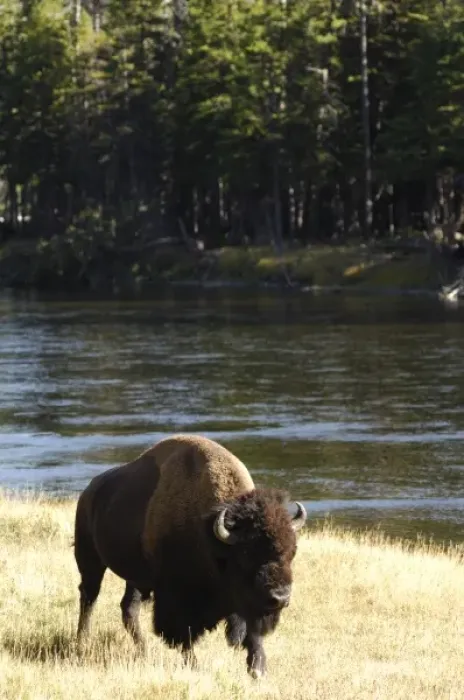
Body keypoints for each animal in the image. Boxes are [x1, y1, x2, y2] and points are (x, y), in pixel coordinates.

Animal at [74, 434, 307, 677]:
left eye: (292, 551)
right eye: (246, 555)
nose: (280, 598)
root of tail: (88, 492)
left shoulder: (247, 602)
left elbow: (252, 631)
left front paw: (258, 669)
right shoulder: (177, 597)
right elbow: (183, 634)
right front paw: (194, 665)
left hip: (135, 577)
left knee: (128, 608)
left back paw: (143, 650)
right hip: (90, 559)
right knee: (89, 597)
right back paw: (82, 643)